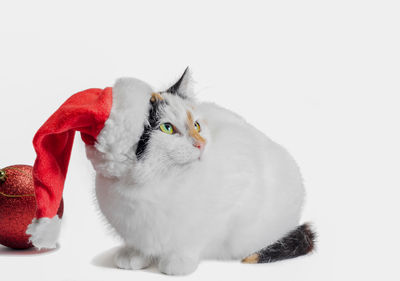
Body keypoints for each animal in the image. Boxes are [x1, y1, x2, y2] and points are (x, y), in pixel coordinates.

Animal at [86, 68, 314, 274]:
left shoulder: (235, 192)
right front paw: (135, 254)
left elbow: (195, 236)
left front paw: (177, 261)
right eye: (167, 128)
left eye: (196, 125)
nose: (201, 144)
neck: (154, 184)